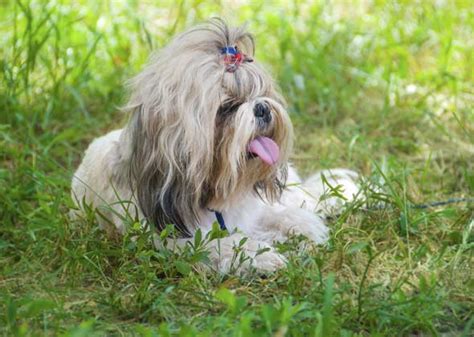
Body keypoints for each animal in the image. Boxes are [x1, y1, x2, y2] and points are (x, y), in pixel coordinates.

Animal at [70, 18, 360, 272]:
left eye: (261, 93)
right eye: (228, 107)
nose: (262, 107)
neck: (215, 193)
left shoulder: (256, 210)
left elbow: (281, 215)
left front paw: (301, 227)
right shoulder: (172, 240)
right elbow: (225, 244)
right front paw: (261, 256)